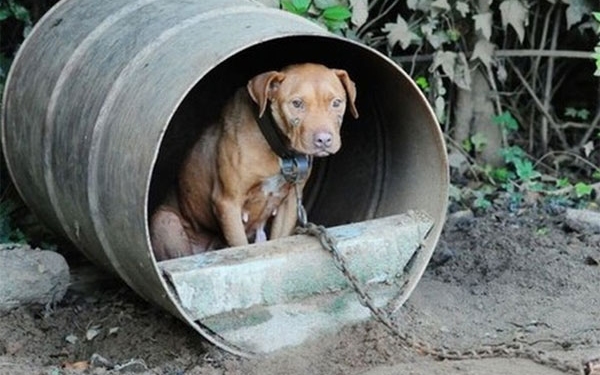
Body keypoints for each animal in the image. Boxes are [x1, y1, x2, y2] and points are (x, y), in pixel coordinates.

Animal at [151, 62, 356, 262]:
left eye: (337, 103)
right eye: (297, 103)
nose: (324, 140)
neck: (281, 152)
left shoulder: (289, 204)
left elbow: (279, 239)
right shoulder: (228, 203)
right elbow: (241, 247)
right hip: (165, 221)